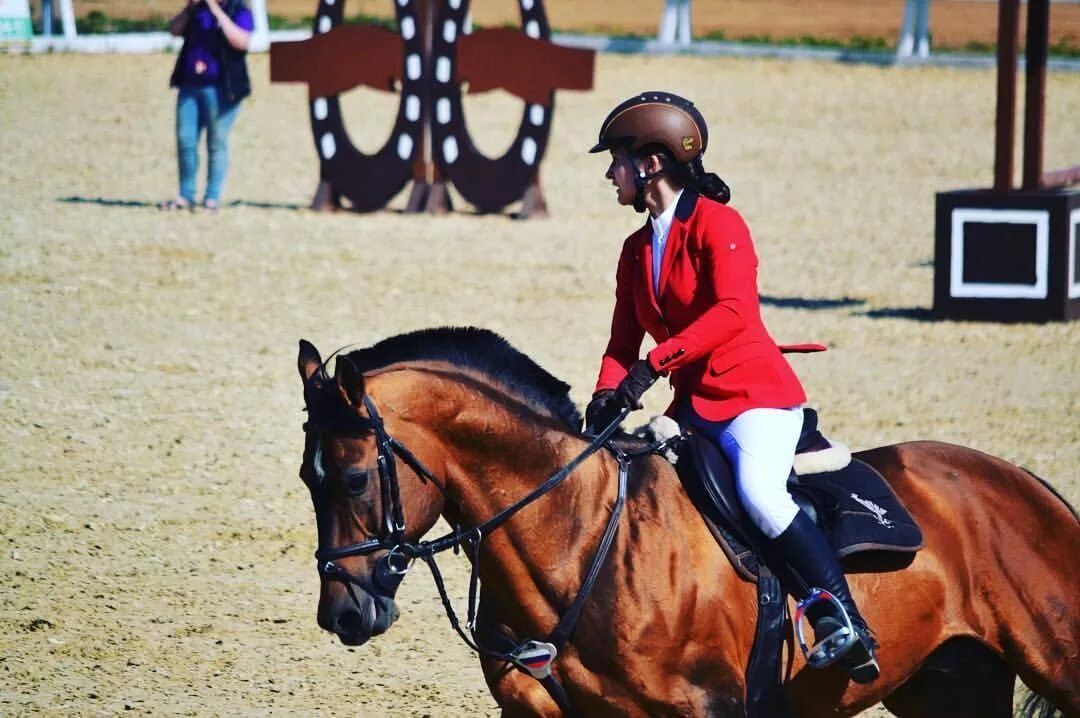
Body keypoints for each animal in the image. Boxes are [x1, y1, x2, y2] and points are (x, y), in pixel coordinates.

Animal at [293, 328, 1080, 712]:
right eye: (308, 478)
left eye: (356, 477)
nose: (342, 614)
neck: (576, 543)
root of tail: (1023, 482)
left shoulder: (708, 707)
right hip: (950, 686)